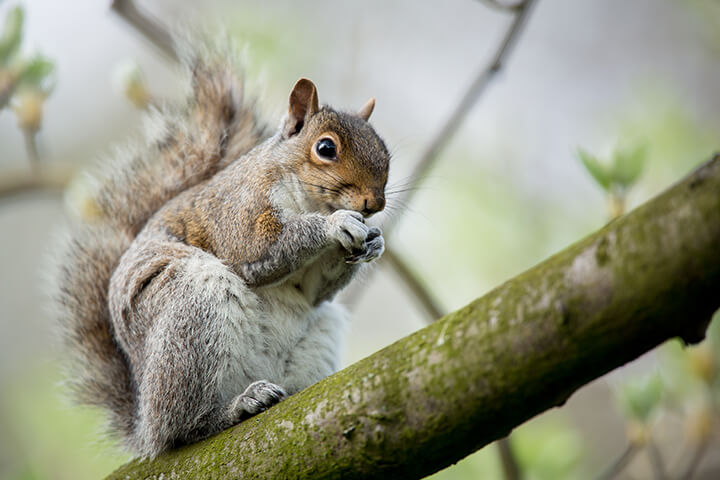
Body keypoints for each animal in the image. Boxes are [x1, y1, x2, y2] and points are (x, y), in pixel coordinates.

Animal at [52, 43, 388, 460]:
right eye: (325, 148)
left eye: (384, 150)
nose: (375, 203)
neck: (306, 198)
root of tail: (145, 425)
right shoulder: (238, 213)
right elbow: (263, 249)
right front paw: (334, 225)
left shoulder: (314, 284)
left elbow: (315, 291)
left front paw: (374, 240)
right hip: (193, 315)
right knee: (182, 429)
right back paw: (235, 408)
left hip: (318, 335)